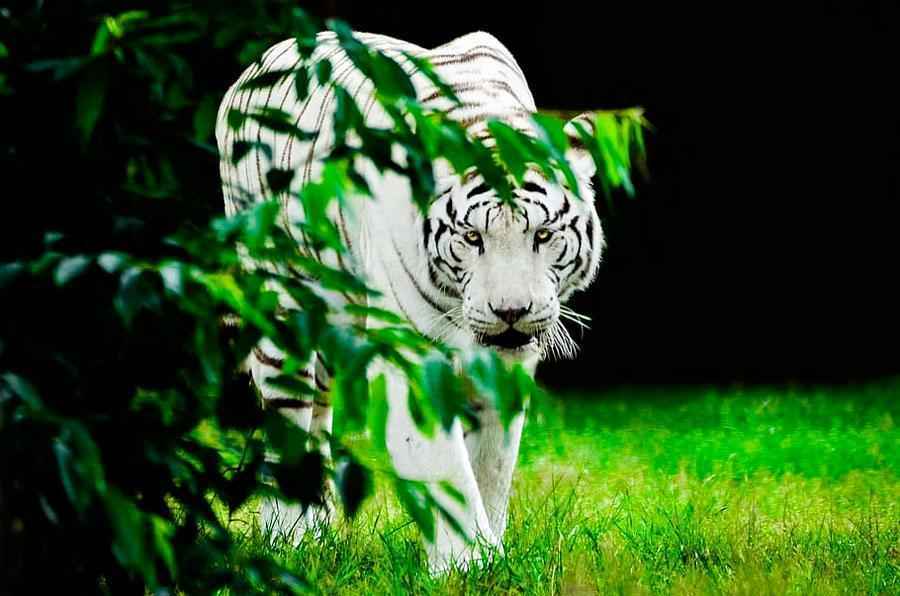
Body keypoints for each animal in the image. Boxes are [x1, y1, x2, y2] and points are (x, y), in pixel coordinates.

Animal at [215, 30, 604, 572]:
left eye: (542, 235)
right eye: (472, 237)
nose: (510, 313)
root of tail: (261, 60)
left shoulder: (508, 365)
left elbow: (493, 462)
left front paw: (492, 554)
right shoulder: (412, 353)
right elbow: (444, 466)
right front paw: (468, 565)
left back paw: (318, 535)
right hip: (281, 307)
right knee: (286, 414)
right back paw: (287, 538)